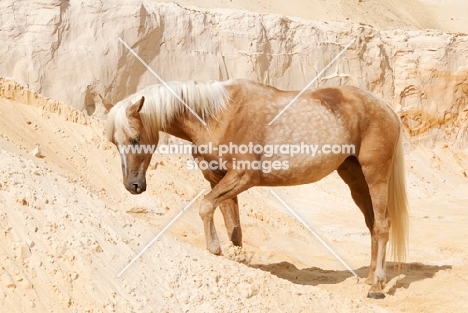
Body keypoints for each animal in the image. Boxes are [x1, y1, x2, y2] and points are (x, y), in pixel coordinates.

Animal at [108, 78, 408, 298]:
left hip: (375, 175)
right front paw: (236, 259)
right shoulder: (218, 180)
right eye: (115, 142)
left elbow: (205, 206)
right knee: (372, 224)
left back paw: (377, 286)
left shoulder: (242, 177)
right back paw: (371, 277)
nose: (133, 185)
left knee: (382, 226)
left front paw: (214, 248)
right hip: (355, 178)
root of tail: (386, 108)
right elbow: (234, 228)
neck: (219, 116)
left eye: (135, 139)